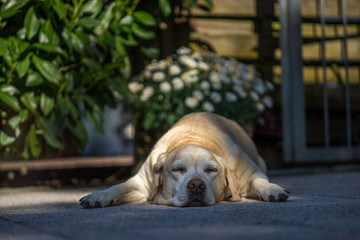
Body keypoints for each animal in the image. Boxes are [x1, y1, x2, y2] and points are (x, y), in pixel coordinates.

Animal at [80, 112, 288, 208]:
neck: (193, 138)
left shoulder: (251, 173)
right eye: (178, 169)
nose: (196, 185)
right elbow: (119, 186)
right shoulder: (141, 183)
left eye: (212, 170)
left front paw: (273, 189)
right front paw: (99, 196)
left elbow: (260, 181)